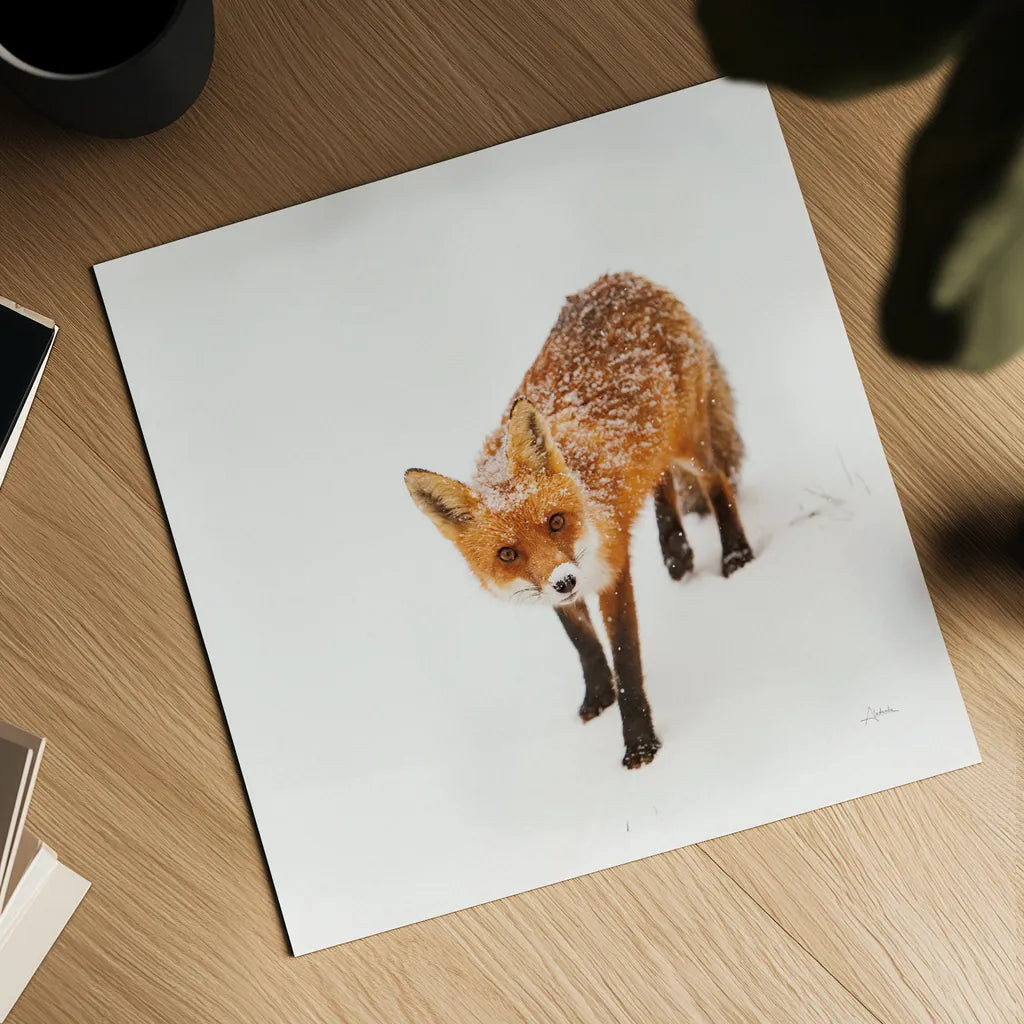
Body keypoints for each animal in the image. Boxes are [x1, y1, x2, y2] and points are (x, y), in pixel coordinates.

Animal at [405, 272, 753, 768]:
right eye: (507, 554)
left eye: (555, 522)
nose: (566, 580)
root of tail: (622, 277)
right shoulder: (552, 589)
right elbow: (584, 643)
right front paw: (598, 696)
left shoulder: (612, 572)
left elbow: (627, 661)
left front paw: (640, 743)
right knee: (659, 479)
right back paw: (676, 551)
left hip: (690, 441)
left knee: (715, 482)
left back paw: (736, 554)